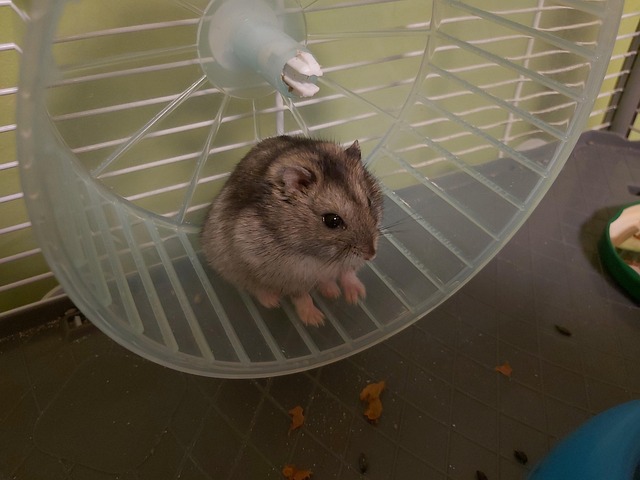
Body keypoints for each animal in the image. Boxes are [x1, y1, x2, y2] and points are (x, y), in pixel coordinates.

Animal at [201, 135, 383, 327]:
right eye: (332, 221)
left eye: (369, 201)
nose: (371, 255)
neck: (320, 255)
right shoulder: (290, 276)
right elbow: (302, 296)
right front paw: (316, 320)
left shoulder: (346, 264)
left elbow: (348, 273)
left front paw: (357, 295)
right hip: (233, 268)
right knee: (254, 286)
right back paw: (272, 301)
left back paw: (332, 291)